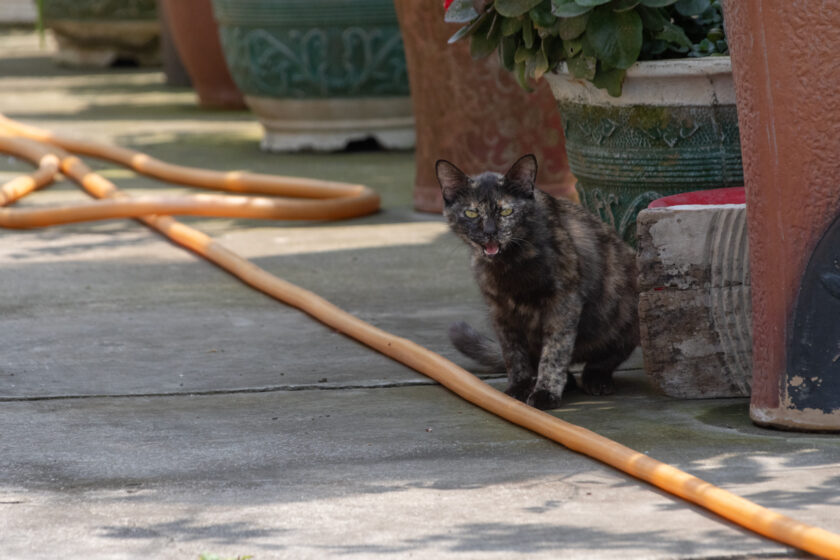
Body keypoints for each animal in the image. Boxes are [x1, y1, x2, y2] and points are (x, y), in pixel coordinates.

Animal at [436, 155, 640, 410]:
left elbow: (555, 351)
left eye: (506, 211)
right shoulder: (500, 313)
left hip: (628, 307)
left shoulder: (563, 303)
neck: (510, 266)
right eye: (471, 213)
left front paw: (545, 393)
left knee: (604, 359)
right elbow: (513, 354)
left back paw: (595, 380)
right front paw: (518, 389)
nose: (491, 232)